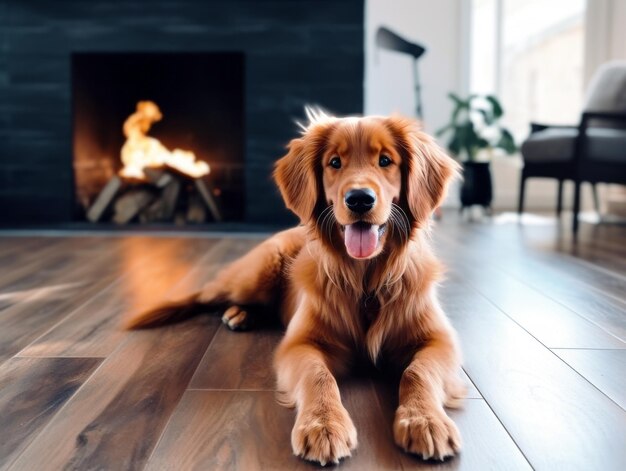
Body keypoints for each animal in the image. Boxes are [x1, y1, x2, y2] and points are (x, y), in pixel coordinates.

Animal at [125, 109, 464, 464]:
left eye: (386, 160)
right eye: (334, 162)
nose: (359, 199)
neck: (365, 281)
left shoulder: (440, 342)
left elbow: (418, 372)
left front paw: (425, 420)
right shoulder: (300, 344)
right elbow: (319, 376)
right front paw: (324, 425)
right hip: (257, 272)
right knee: (208, 296)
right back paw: (229, 312)